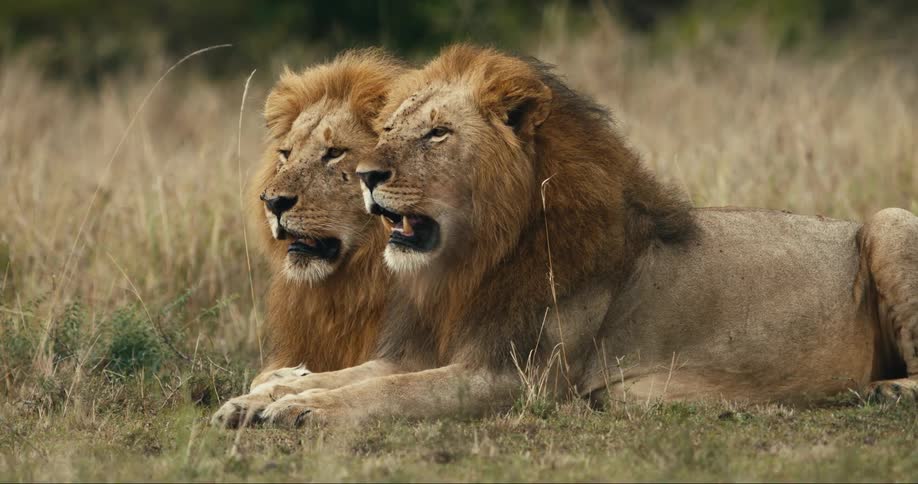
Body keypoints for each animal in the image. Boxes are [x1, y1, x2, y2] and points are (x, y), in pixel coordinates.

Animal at [236, 44, 918, 428]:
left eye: (437, 134)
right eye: (388, 130)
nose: (369, 175)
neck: (472, 261)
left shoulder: (513, 380)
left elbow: (390, 393)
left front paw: (299, 409)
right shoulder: (421, 348)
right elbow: (354, 375)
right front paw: (264, 395)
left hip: (889, 220)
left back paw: (886, 391)